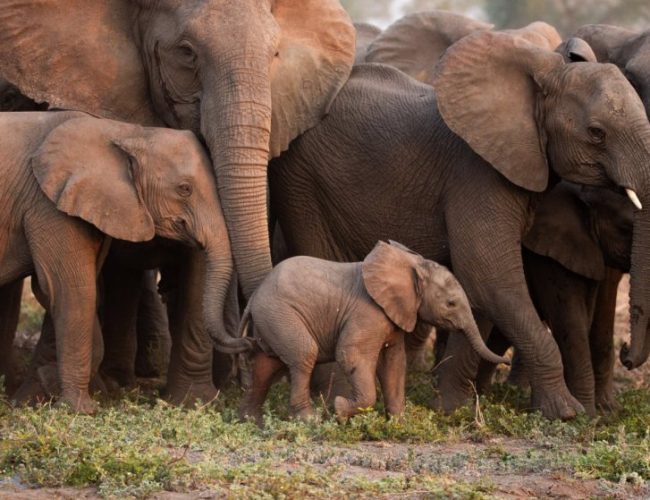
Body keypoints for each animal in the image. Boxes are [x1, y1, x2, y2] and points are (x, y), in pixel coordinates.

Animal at [0, 111, 244, 412]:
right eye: (184, 189)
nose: (247, 340)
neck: (124, 132)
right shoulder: (48, 207)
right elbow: (73, 291)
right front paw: (81, 409)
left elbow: (77, 291)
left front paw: (52, 383)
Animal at [238, 241, 509, 423]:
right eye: (451, 303)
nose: (505, 360)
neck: (411, 264)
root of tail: (253, 298)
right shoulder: (368, 312)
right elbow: (351, 353)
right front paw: (339, 409)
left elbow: (394, 362)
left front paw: (399, 423)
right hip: (280, 314)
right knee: (303, 354)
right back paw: (309, 419)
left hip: (271, 319)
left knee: (267, 364)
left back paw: (252, 421)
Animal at [268, 27, 650, 420]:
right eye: (596, 133)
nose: (626, 351)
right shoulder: (477, 175)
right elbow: (491, 279)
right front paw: (565, 413)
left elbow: (478, 289)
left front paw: (451, 408)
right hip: (301, 184)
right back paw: (331, 396)